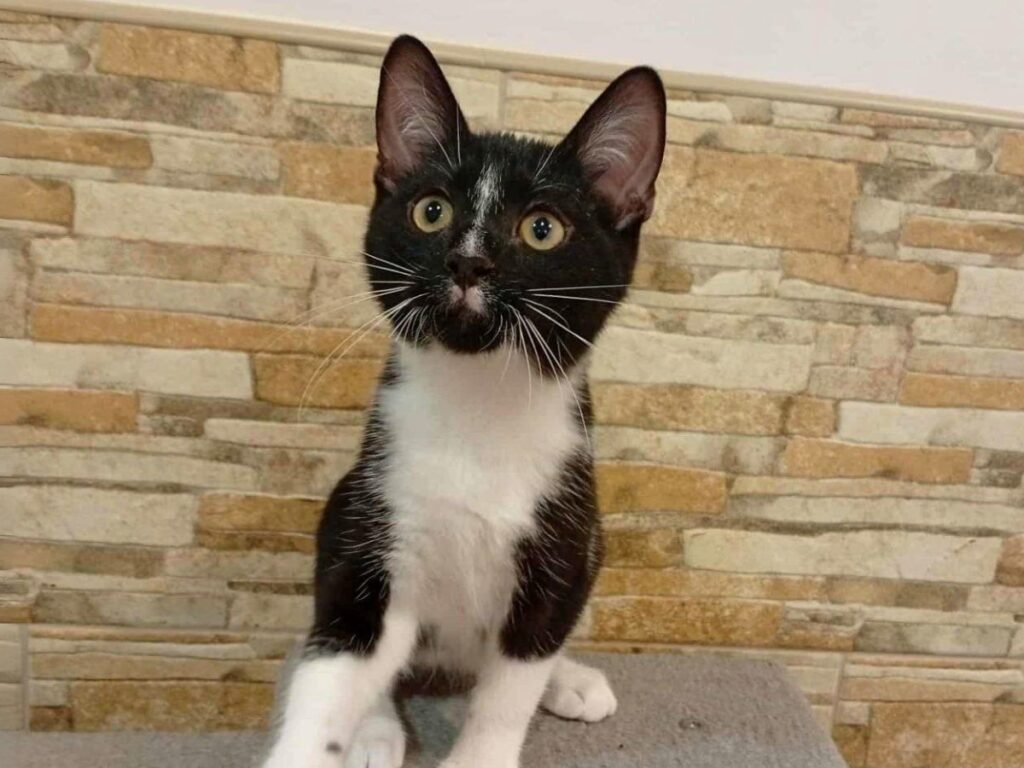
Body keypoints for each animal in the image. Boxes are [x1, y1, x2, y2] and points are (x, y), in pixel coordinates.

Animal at [261, 34, 666, 768]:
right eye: (432, 211)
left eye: (542, 229)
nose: (468, 263)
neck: (479, 409)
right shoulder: (373, 529)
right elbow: (335, 662)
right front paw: (331, 735)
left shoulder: (560, 542)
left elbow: (516, 676)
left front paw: (486, 749)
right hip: (345, 503)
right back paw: (376, 731)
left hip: (589, 541)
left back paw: (569, 678)